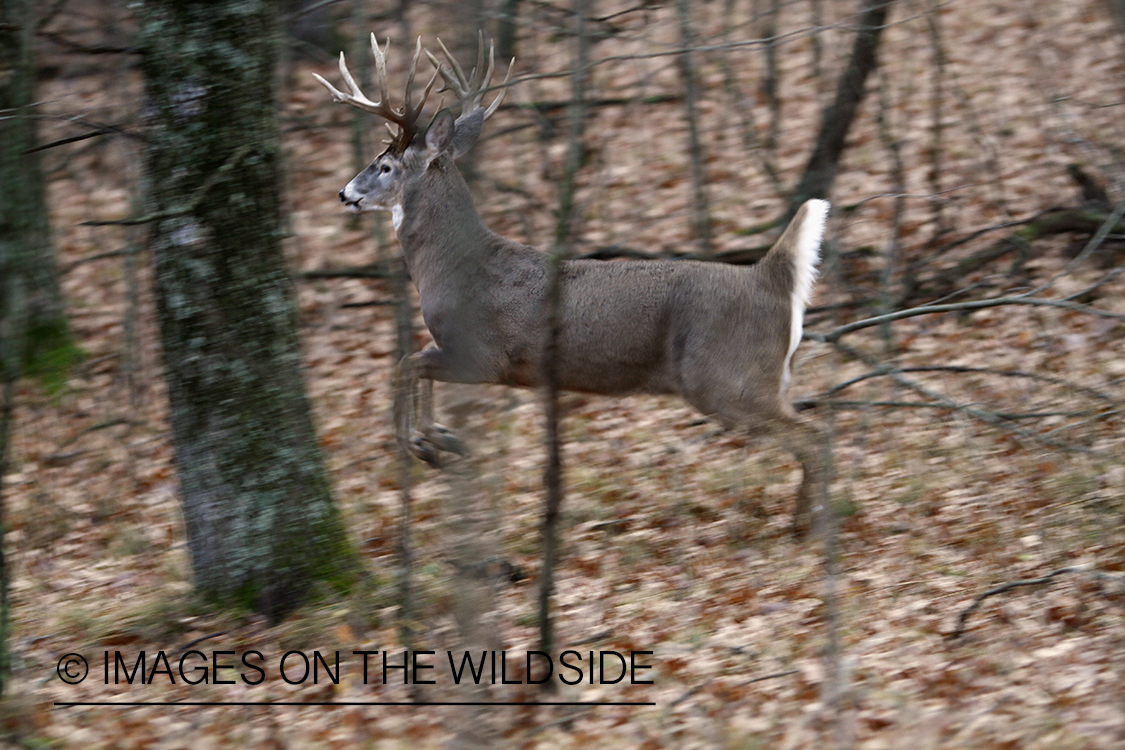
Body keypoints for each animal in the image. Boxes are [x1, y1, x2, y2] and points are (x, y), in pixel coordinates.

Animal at [312, 36, 832, 539]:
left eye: (385, 165)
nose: (343, 193)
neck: (453, 268)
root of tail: (770, 276)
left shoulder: (483, 355)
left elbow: (406, 364)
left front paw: (428, 444)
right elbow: (411, 363)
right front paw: (440, 439)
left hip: (725, 378)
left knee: (814, 437)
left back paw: (809, 530)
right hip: (762, 377)